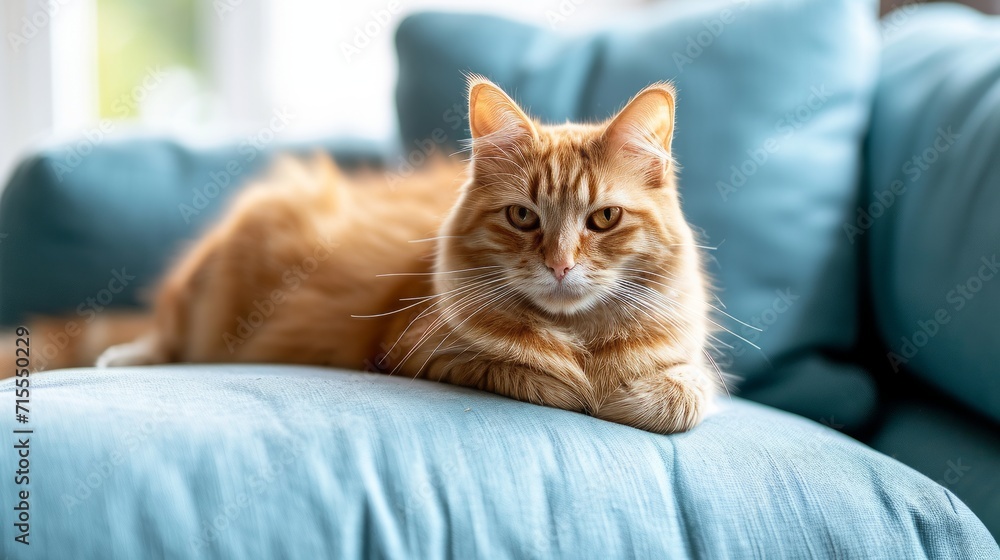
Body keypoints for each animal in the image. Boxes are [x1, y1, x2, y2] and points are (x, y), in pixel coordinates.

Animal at [7, 79, 720, 436]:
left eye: (603, 219)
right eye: (523, 218)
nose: (561, 265)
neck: (580, 338)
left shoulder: (690, 363)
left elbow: (684, 398)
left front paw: (629, 397)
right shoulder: (416, 348)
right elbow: (547, 381)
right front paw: (589, 392)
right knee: (165, 334)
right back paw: (126, 356)